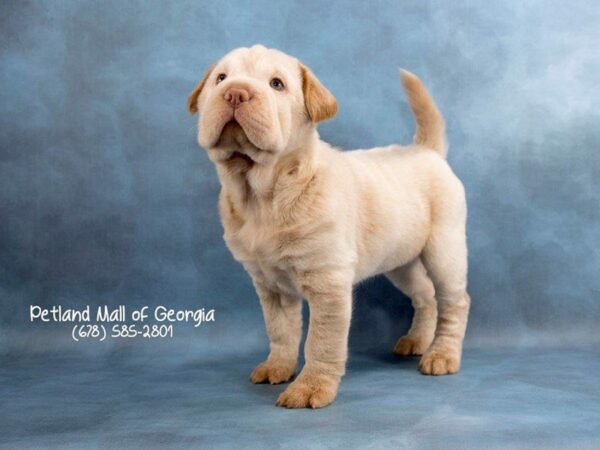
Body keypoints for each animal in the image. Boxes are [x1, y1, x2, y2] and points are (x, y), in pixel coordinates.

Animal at [190, 44, 472, 408]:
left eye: (276, 84)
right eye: (220, 78)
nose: (235, 93)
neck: (262, 195)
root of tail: (426, 149)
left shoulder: (328, 282)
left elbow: (321, 341)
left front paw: (311, 387)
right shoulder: (269, 285)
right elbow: (280, 331)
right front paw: (277, 367)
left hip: (444, 251)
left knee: (455, 301)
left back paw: (442, 355)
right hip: (400, 262)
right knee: (425, 295)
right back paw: (417, 340)